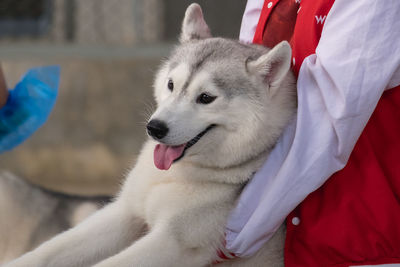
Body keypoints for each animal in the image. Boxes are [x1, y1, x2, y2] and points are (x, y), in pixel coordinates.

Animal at [4, 3, 296, 267]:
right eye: (171, 84)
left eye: (206, 98)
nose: (155, 128)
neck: (178, 174)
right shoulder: (125, 212)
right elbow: (48, 250)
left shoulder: (171, 242)